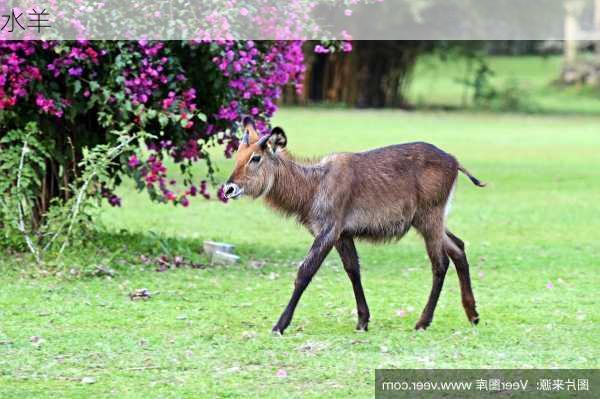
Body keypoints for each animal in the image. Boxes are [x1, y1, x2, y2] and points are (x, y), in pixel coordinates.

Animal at [223, 118, 486, 334]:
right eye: (237, 156)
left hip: (429, 218)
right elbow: (353, 270)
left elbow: (305, 272)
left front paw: (279, 325)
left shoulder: (329, 230)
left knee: (440, 263)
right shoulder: (343, 235)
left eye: (256, 158)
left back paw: (423, 322)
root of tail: (454, 160)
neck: (313, 187)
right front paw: (363, 321)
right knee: (458, 247)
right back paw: (473, 315)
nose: (228, 188)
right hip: (430, 221)